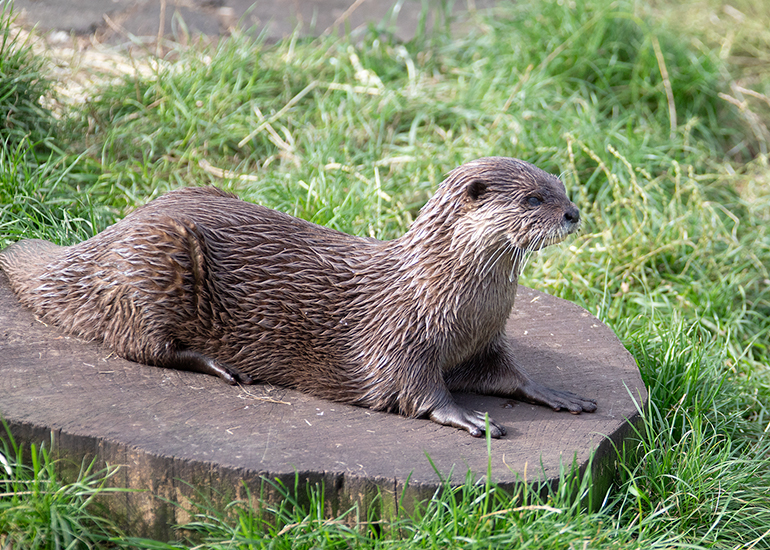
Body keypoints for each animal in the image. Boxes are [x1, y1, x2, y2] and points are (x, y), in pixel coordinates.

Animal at [0, 157, 596, 437]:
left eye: (563, 187)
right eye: (533, 199)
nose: (573, 213)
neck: (451, 294)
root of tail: (104, 237)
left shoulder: (486, 340)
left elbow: (509, 374)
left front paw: (556, 393)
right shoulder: (400, 337)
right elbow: (415, 389)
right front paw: (467, 417)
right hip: (154, 258)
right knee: (138, 344)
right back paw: (220, 365)